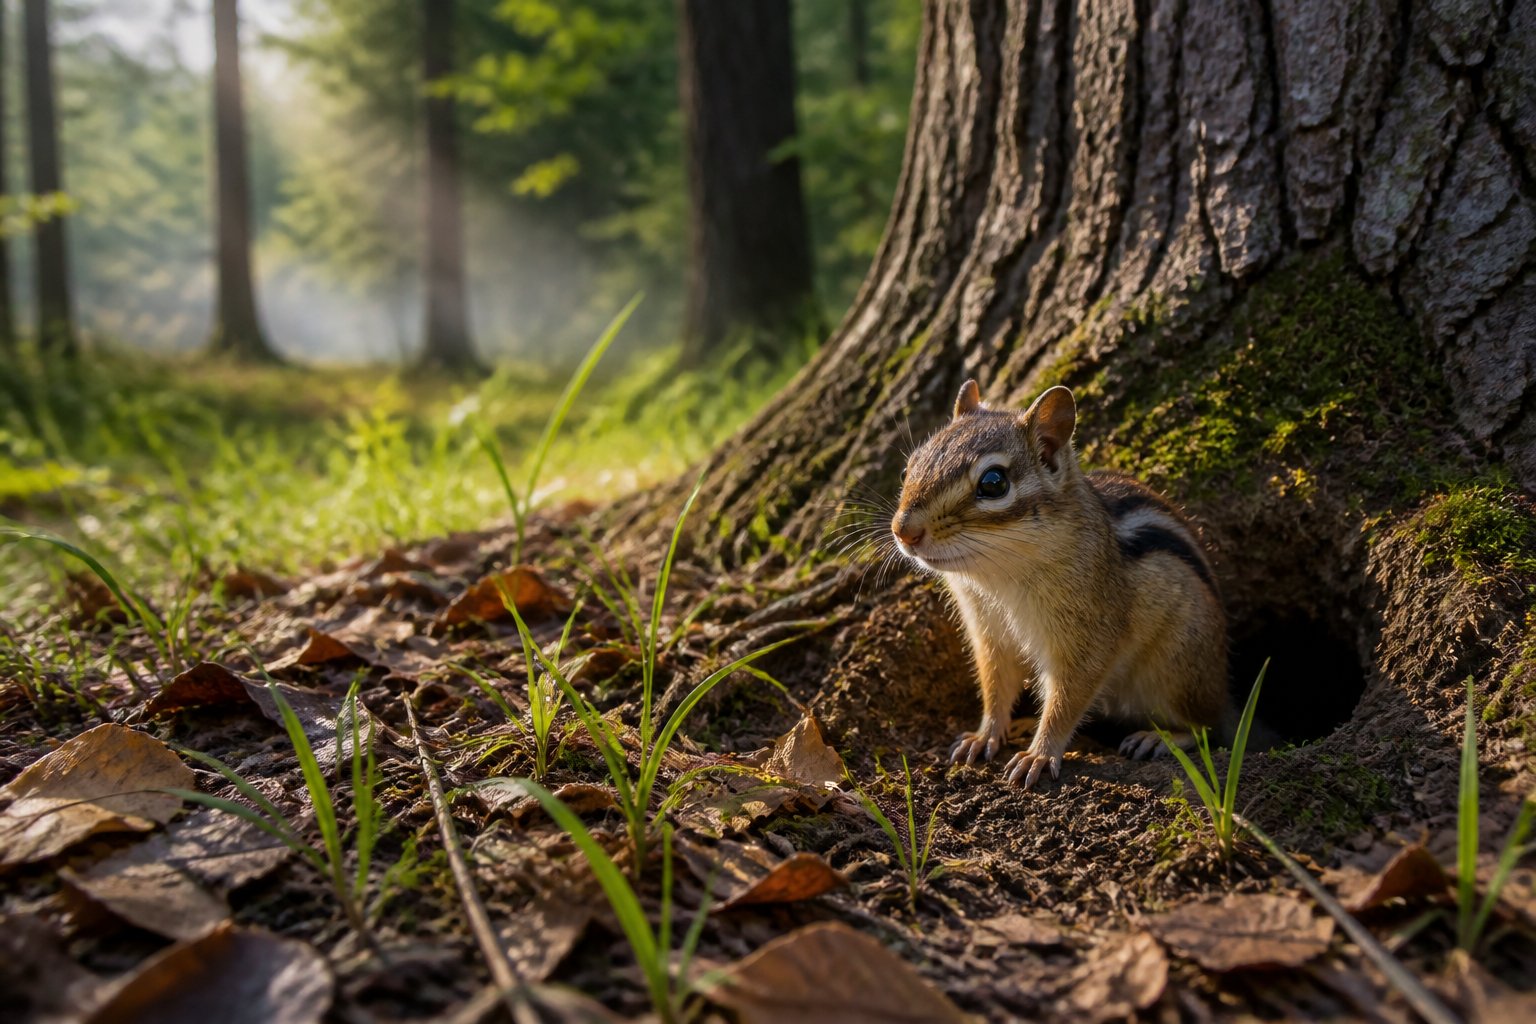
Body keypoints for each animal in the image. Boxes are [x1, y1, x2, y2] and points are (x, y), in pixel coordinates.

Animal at [891, 379, 1230, 789]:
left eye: (993, 483)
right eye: (909, 467)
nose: (904, 531)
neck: (999, 574)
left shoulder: (1089, 636)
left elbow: (1066, 700)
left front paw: (1039, 754)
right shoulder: (989, 633)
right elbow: (995, 686)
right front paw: (985, 735)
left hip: (1180, 668)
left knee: (1207, 726)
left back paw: (1161, 737)